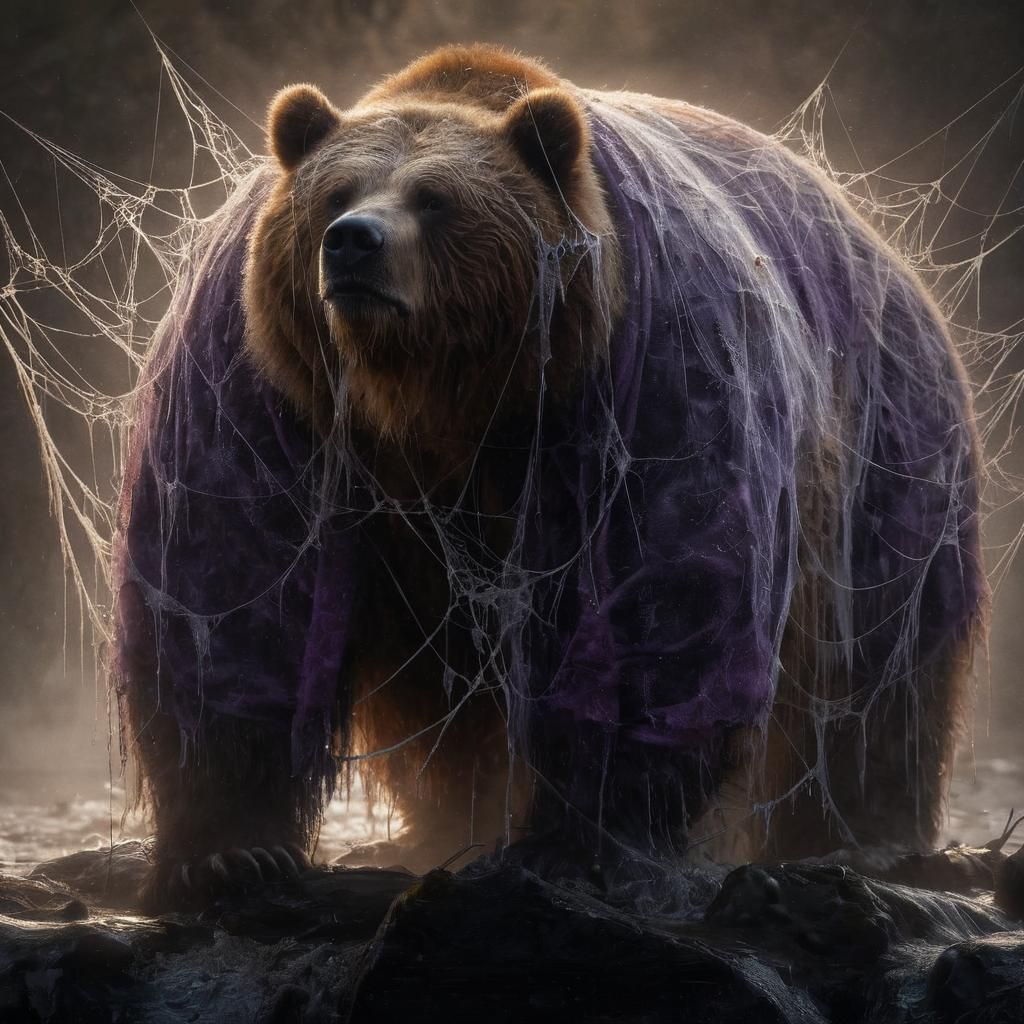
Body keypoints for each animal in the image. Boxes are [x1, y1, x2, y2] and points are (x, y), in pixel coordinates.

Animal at [112, 44, 987, 909]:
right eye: (335, 191)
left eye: (435, 199)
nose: (353, 241)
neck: (433, 398)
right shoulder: (264, 385)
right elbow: (231, 593)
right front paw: (229, 854)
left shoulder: (649, 372)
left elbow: (660, 603)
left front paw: (581, 842)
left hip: (887, 447)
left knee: (877, 679)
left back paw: (864, 839)